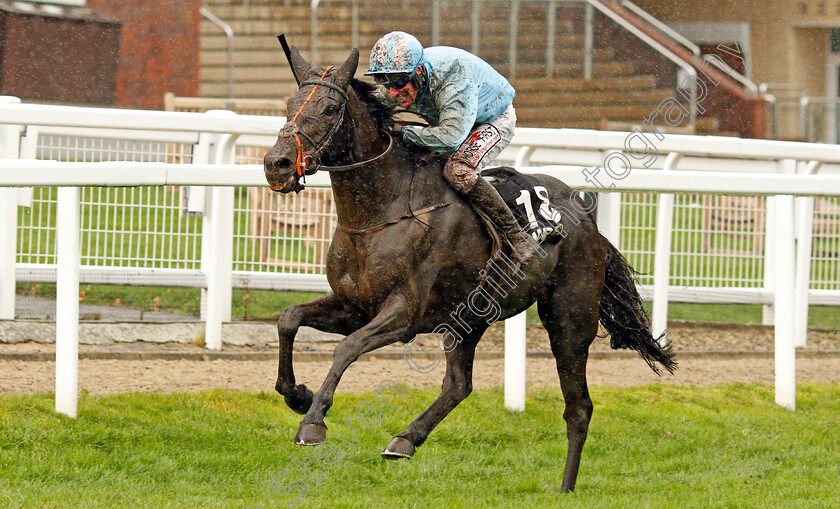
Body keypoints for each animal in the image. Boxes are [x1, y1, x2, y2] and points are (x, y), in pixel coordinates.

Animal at [262, 47, 676, 492]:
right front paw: (297, 394)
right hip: (469, 318)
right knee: (460, 385)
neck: (382, 210)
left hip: (570, 319)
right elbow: (289, 318)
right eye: (288, 106)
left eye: (329, 107)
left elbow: (347, 348)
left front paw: (313, 421)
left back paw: (565, 488)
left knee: (578, 406)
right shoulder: (353, 306)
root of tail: (588, 222)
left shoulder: (403, 314)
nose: (276, 164)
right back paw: (405, 439)